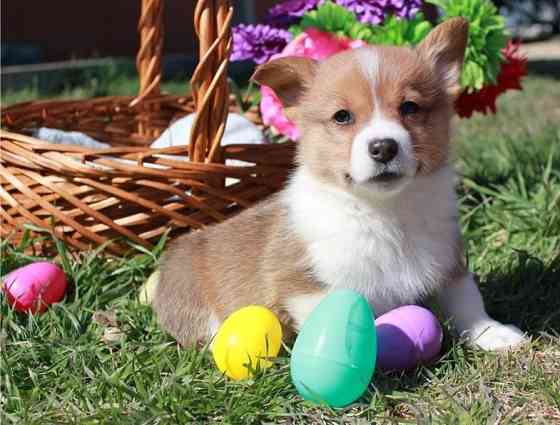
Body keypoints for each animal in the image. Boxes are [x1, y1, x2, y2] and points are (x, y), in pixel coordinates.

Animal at [150, 17, 524, 352]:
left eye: (410, 107)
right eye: (342, 116)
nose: (384, 147)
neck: (385, 211)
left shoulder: (448, 258)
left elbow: (467, 300)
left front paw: (494, 334)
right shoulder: (305, 285)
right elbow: (337, 318)